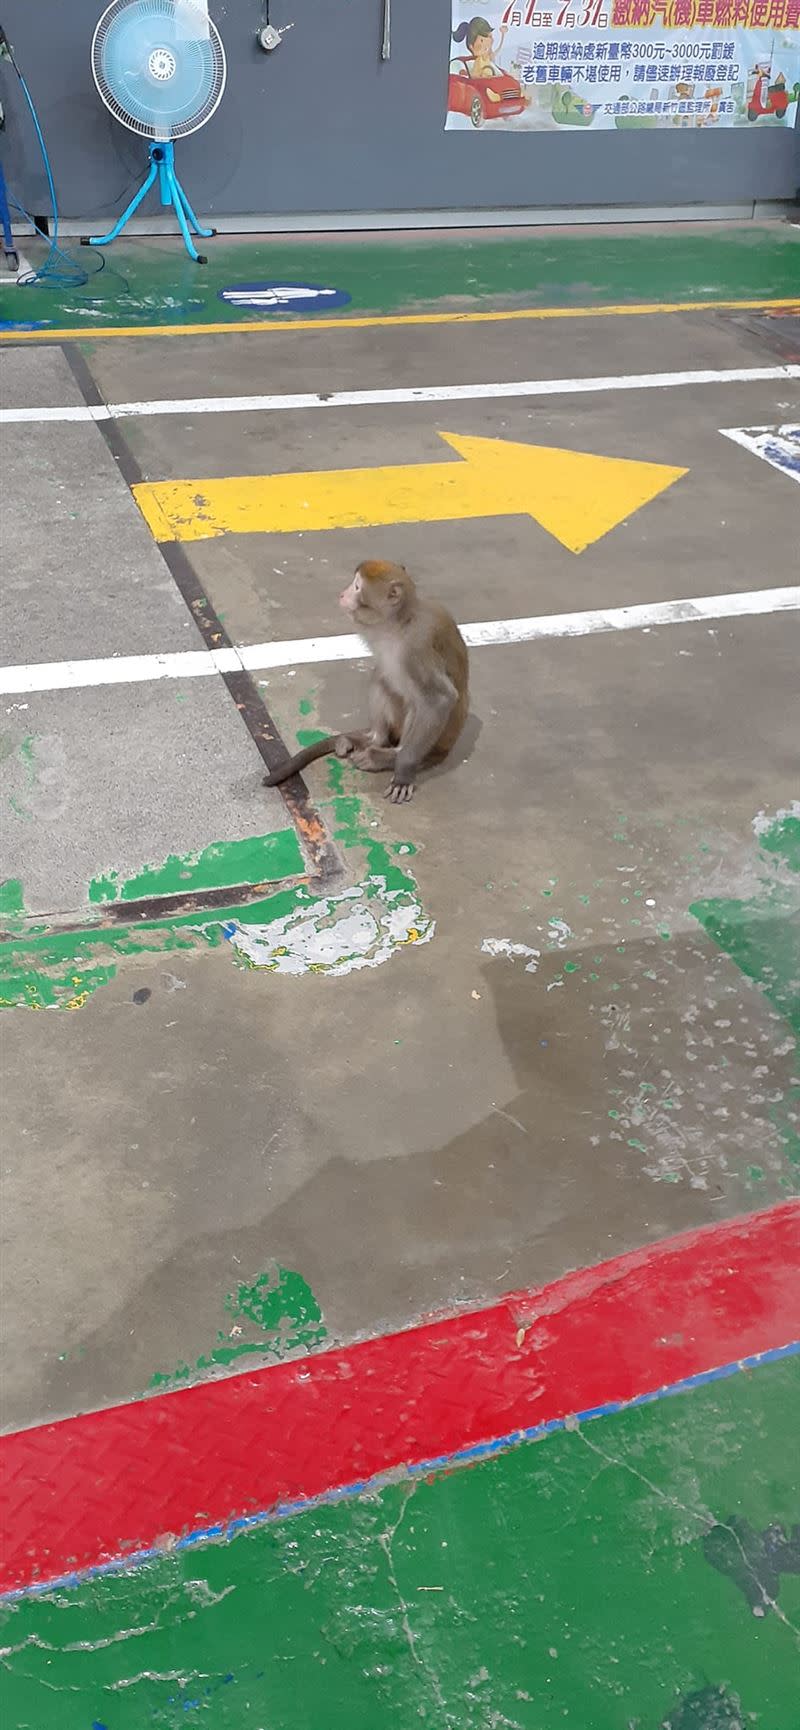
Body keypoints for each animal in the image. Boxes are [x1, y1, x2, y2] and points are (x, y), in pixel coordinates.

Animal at [263, 563, 467, 806]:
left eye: (357, 587)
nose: (343, 594)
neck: (399, 623)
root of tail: (447, 747)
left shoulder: (417, 646)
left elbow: (441, 699)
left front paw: (403, 772)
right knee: (381, 678)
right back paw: (371, 739)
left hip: (435, 743)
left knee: (418, 704)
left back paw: (386, 756)